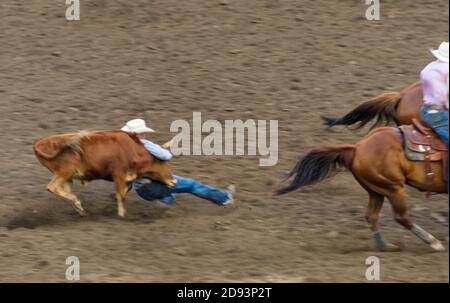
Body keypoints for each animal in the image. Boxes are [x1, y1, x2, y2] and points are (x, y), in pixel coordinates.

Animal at [274, 126, 446, 252]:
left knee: (372, 216)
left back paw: (385, 246)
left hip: (376, 190)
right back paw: (434, 243)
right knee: (401, 216)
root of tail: (357, 147)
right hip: (393, 188)